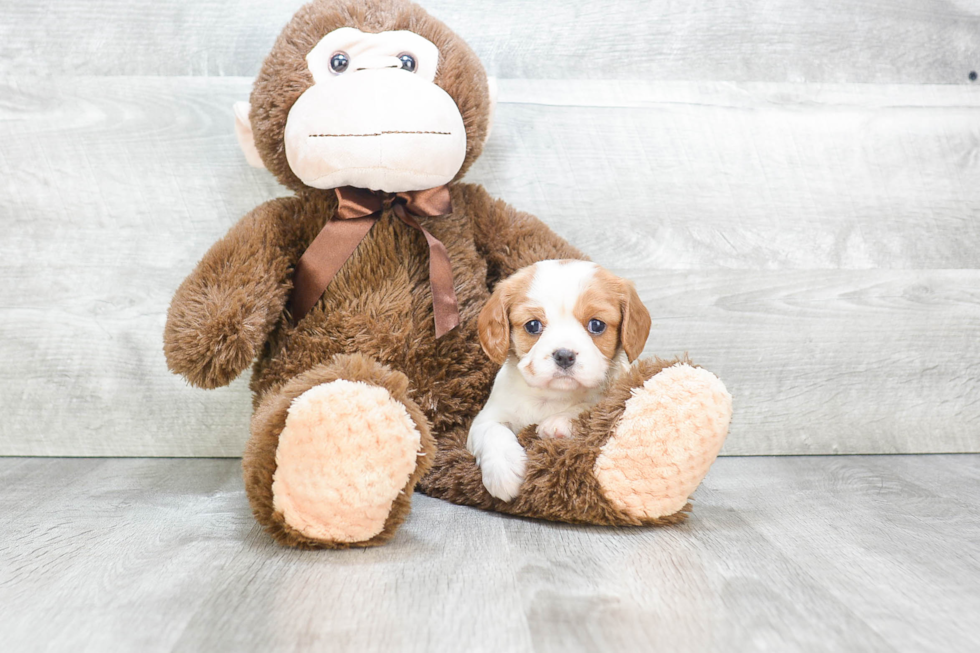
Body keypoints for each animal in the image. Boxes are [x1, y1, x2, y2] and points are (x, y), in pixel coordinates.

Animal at [468, 258, 652, 500]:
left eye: (597, 325)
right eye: (533, 325)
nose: (564, 355)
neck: (552, 396)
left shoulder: (613, 394)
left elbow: (590, 407)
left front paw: (558, 422)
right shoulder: (487, 417)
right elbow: (491, 430)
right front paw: (503, 471)